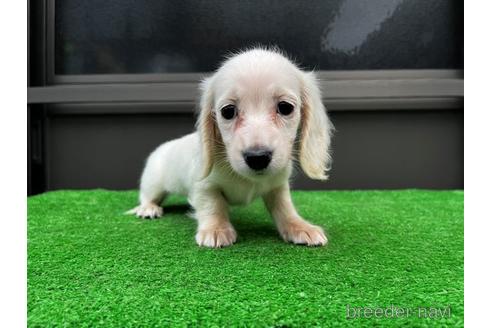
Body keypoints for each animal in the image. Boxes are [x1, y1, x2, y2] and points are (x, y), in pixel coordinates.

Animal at [127, 48, 334, 249]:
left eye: (285, 107)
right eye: (228, 111)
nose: (257, 157)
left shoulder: (277, 185)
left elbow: (284, 207)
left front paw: (298, 226)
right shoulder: (203, 186)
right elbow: (213, 205)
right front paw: (216, 229)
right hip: (153, 182)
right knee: (147, 196)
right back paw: (148, 208)